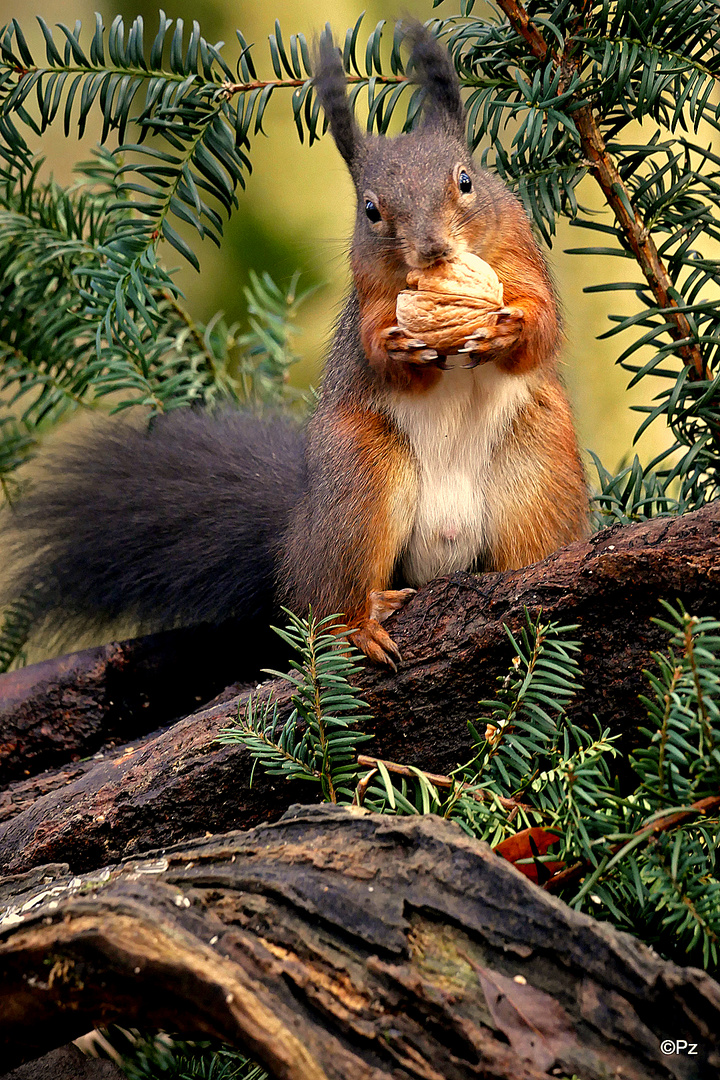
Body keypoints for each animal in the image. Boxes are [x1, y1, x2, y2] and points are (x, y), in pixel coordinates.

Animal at [0, 23, 587, 665]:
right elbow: (377, 349)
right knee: (323, 600)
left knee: (526, 546)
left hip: (534, 474)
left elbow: (545, 328)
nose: (433, 249)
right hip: (357, 485)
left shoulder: (521, 256)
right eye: (370, 209)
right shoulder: (369, 295)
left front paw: (511, 327)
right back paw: (359, 625)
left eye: (466, 181)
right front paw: (399, 348)